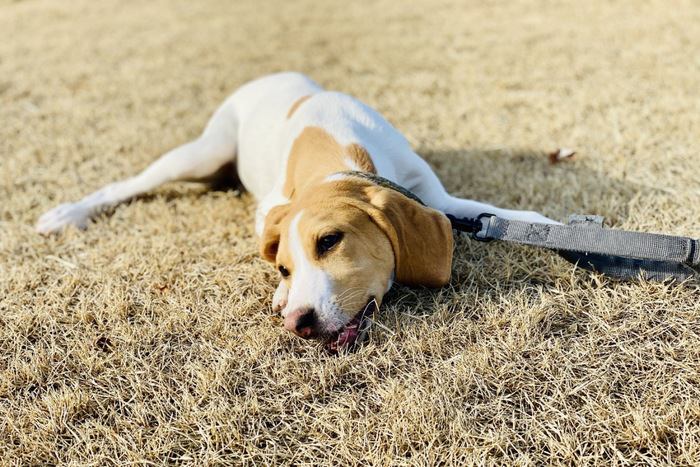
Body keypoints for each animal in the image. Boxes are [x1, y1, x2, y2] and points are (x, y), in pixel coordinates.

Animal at [38, 72, 556, 352]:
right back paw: (67, 214)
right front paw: (281, 294)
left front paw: (551, 226)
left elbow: (495, 211)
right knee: (127, 185)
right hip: (201, 153)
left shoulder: (438, 199)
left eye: (330, 241)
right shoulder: (269, 209)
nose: (298, 323)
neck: (339, 152)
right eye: (284, 267)